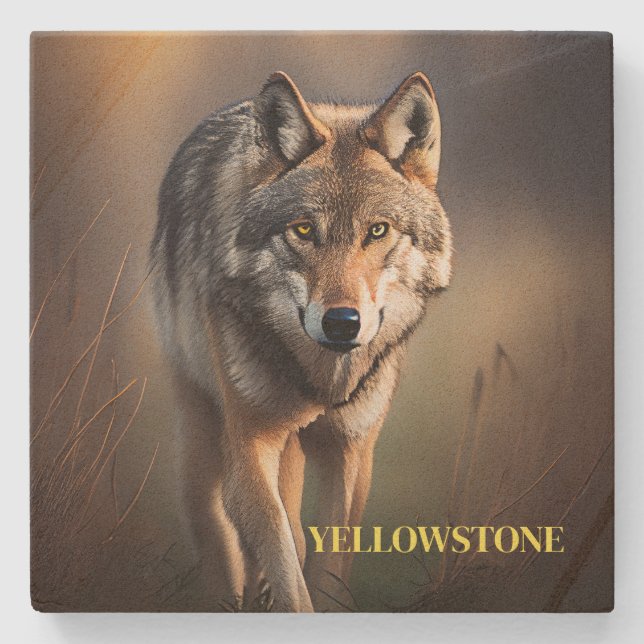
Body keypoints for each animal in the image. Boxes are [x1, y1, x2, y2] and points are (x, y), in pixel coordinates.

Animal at [150, 71, 452, 612]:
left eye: (378, 230)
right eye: (304, 229)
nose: (342, 323)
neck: (321, 382)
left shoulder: (351, 451)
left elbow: (326, 563)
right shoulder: (250, 446)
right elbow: (285, 561)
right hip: (202, 431)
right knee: (218, 528)